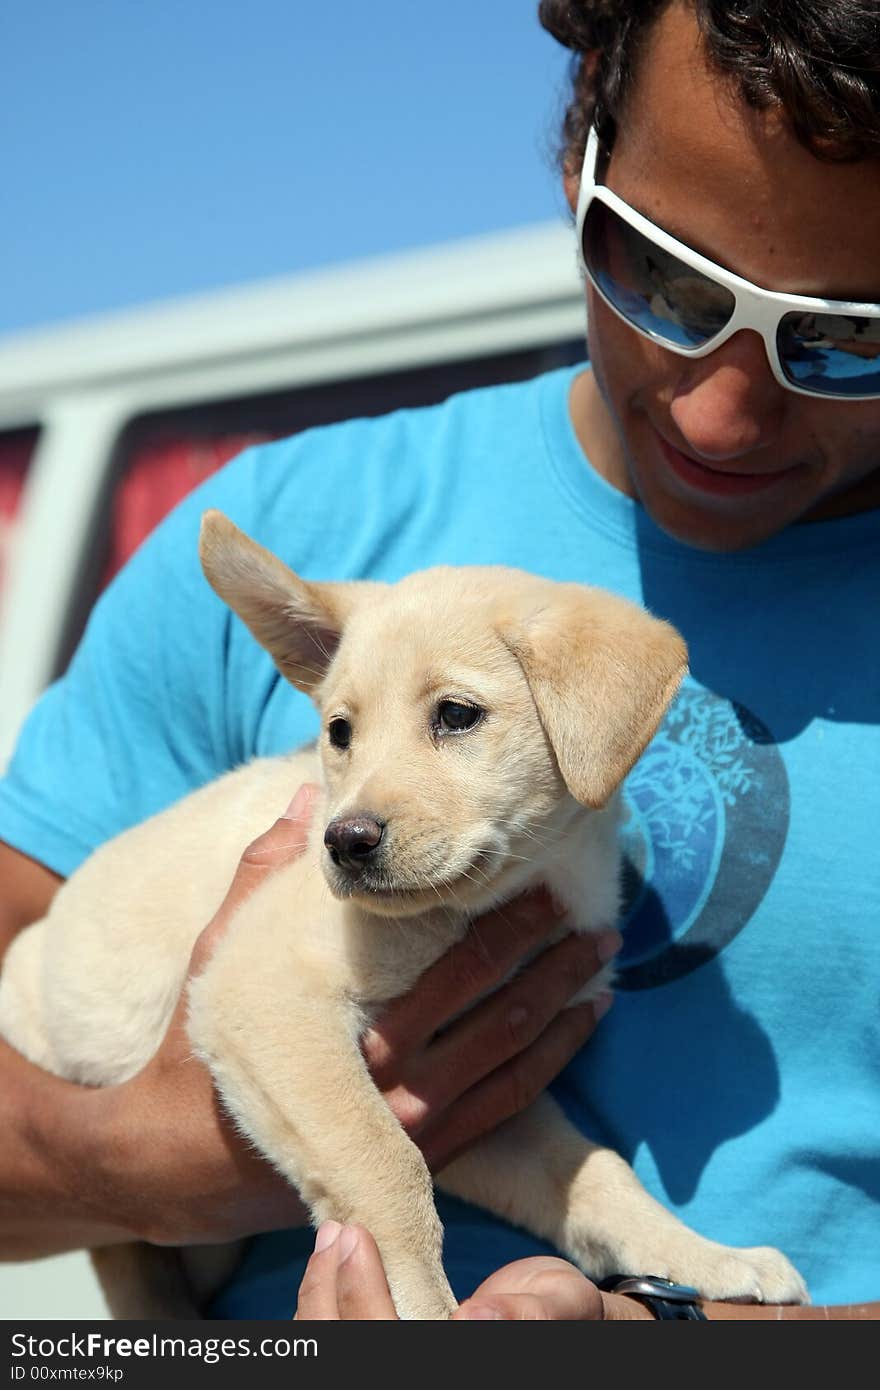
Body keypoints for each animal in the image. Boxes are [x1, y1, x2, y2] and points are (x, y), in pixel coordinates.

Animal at [0, 517, 800, 1317]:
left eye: (456, 715)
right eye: (339, 732)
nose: (344, 842)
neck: (504, 893)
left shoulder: (484, 1097)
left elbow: (596, 1173)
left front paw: (707, 1256)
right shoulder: (262, 991)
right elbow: (386, 1164)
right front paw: (417, 1301)